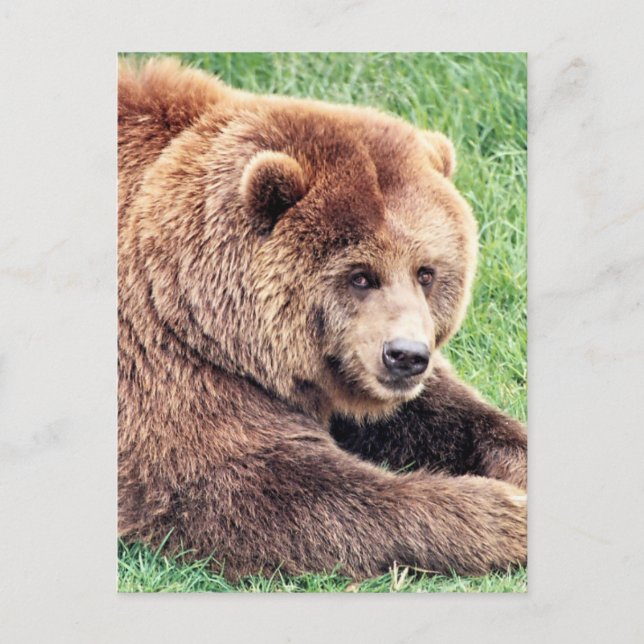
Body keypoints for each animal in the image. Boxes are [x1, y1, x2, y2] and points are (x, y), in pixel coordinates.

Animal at [118, 57, 527, 581]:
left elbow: (445, 413)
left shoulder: (347, 370)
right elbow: (264, 487)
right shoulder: (164, 364)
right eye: (361, 275)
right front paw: (507, 512)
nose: (405, 356)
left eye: (427, 272)